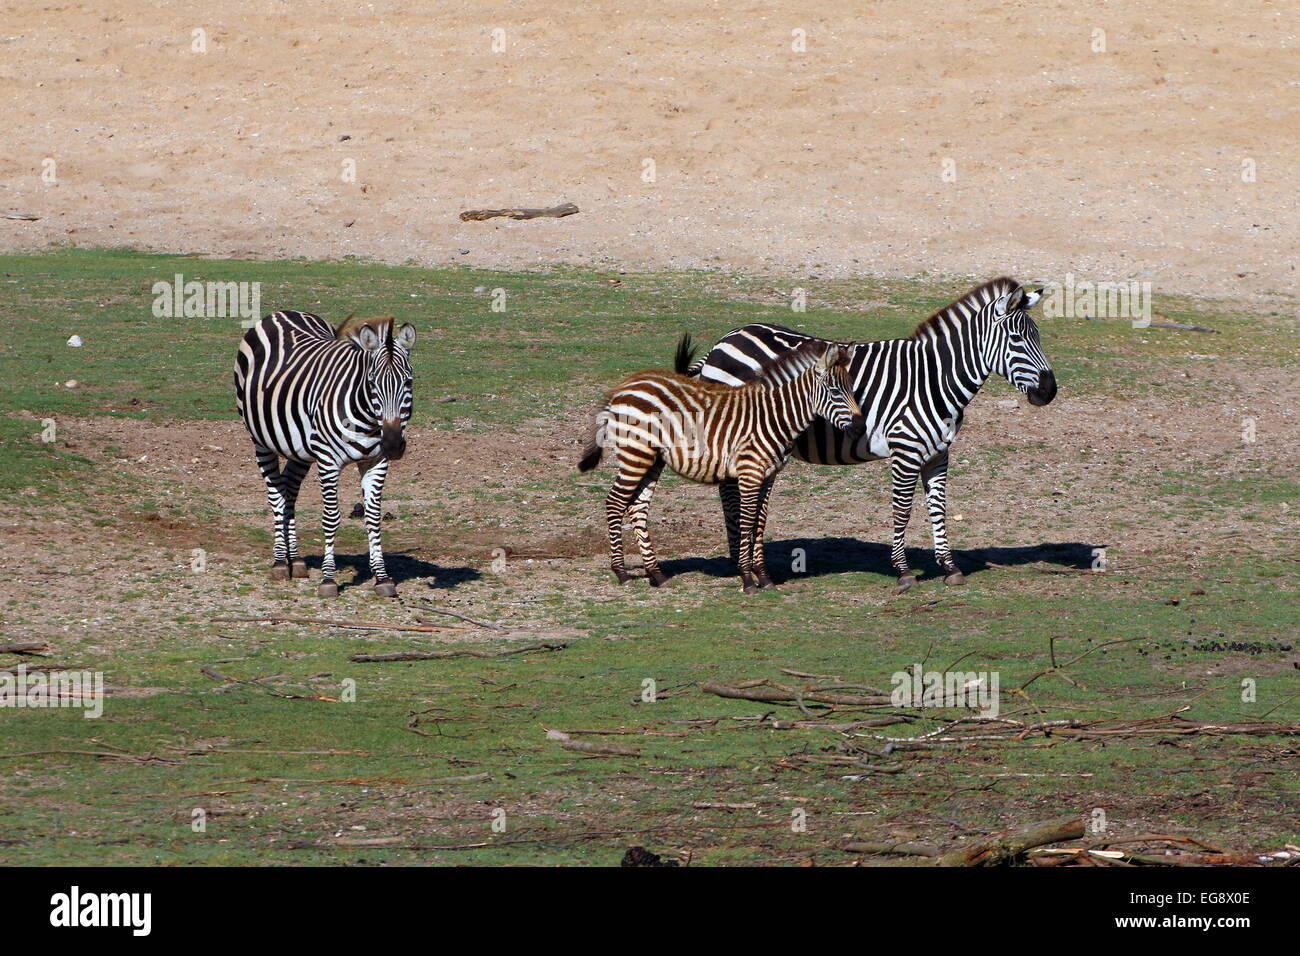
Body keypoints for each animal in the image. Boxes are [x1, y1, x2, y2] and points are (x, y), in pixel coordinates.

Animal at [234, 310, 416, 598]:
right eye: (372, 384)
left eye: (407, 382)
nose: (393, 444)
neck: (368, 420)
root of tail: (284, 313)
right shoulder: (328, 461)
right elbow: (331, 518)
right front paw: (328, 579)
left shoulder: (376, 461)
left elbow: (373, 517)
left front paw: (382, 577)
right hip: (261, 440)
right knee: (275, 495)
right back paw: (279, 562)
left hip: (300, 449)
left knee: (289, 491)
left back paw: (295, 560)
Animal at [579, 334, 866, 593]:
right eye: (834, 391)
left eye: (852, 389)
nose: (861, 428)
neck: (774, 418)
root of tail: (624, 387)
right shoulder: (749, 472)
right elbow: (747, 521)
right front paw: (748, 579)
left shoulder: (769, 475)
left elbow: (760, 523)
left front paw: (764, 577)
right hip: (635, 453)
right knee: (615, 502)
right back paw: (621, 573)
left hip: (652, 458)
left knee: (637, 506)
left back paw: (656, 574)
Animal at [689, 277, 1057, 594]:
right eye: (1017, 340)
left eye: (1038, 336)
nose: (1049, 392)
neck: (934, 379)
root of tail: (725, 339)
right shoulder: (905, 450)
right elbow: (902, 510)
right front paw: (904, 572)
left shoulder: (939, 452)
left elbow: (938, 507)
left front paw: (950, 568)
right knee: (730, 493)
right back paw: (742, 564)